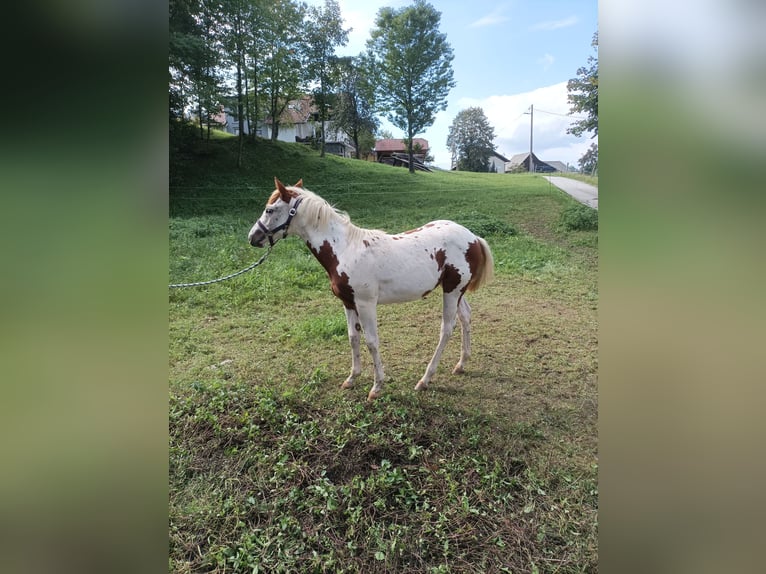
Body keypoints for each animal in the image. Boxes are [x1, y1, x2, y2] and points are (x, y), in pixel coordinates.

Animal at [249, 178, 495, 401]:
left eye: (270, 209)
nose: (253, 237)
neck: (345, 248)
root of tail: (473, 237)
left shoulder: (366, 304)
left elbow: (371, 341)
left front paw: (377, 387)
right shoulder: (348, 303)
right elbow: (353, 338)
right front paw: (351, 378)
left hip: (452, 291)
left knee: (446, 328)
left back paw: (425, 379)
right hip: (455, 290)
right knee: (465, 317)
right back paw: (461, 364)